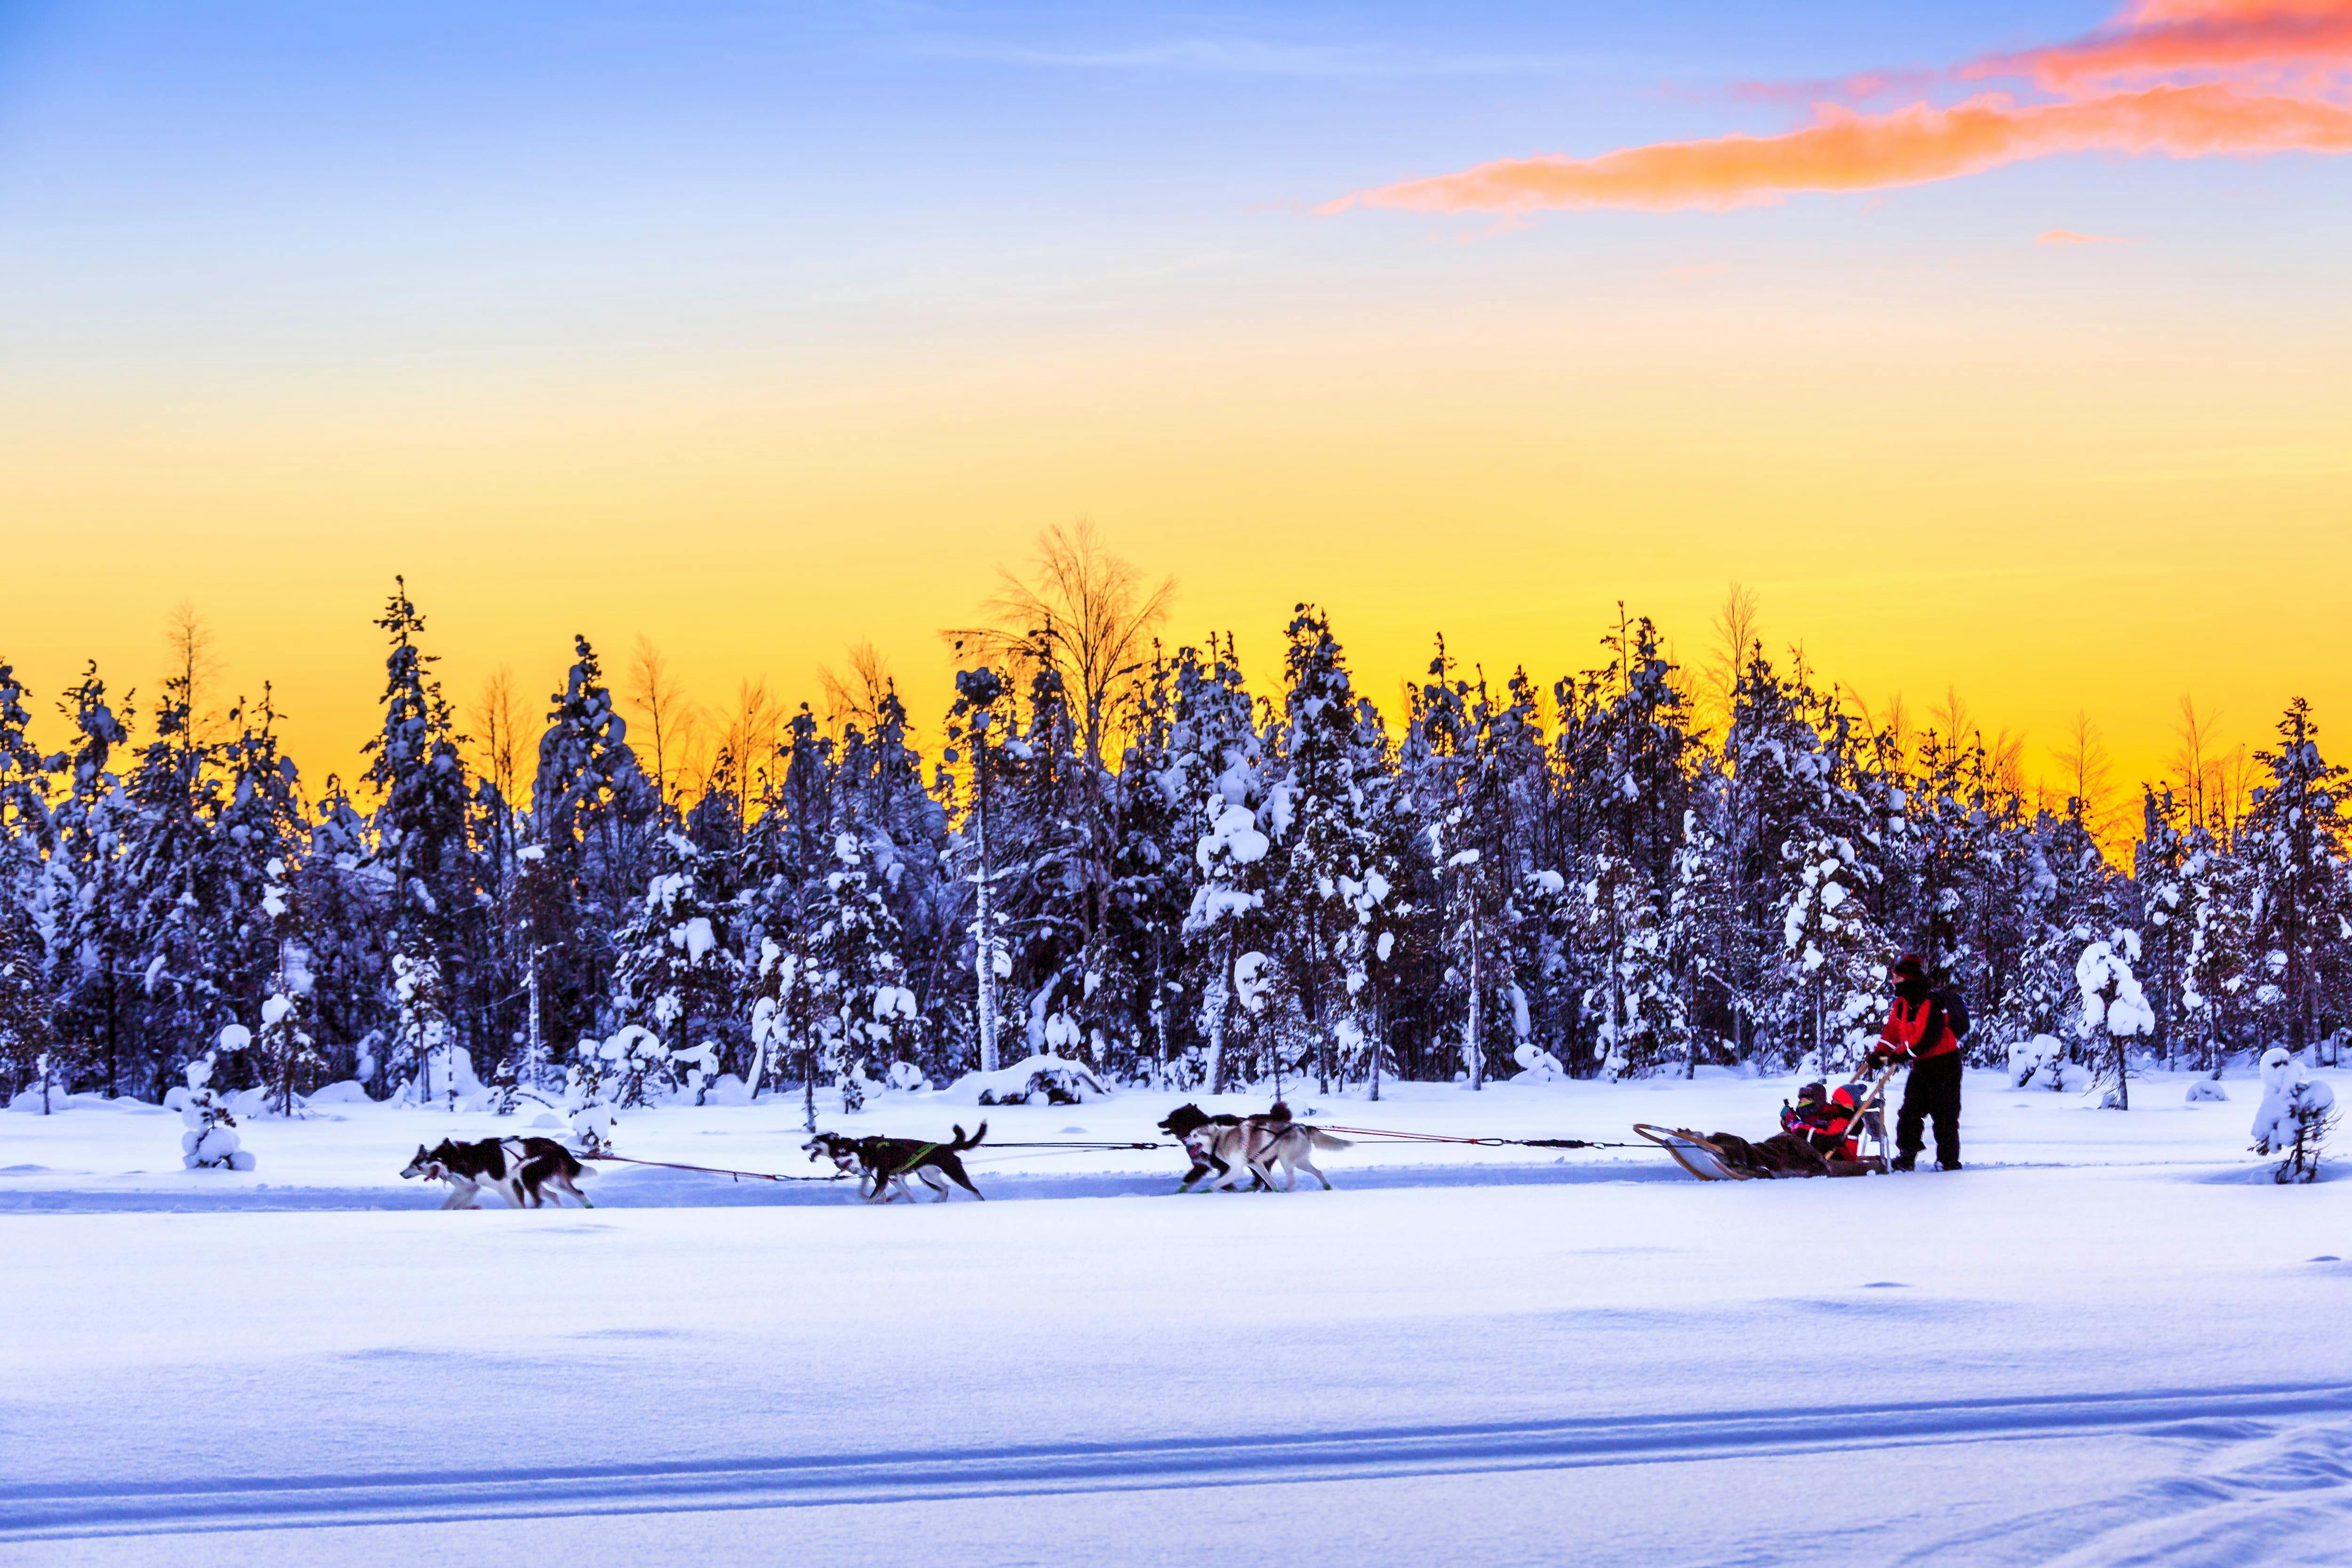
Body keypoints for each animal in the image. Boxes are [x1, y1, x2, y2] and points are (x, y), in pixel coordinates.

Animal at [402, 1133, 593, 1213]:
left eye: (432, 1158)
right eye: (426, 1157)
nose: (402, 1173)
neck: (469, 1158)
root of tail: (556, 1145)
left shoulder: (505, 1187)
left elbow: (518, 1205)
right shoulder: (470, 1188)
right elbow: (452, 1205)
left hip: (526, 1176)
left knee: (541, 1200)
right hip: (549, 1180)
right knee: (575, 1193)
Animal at [804, 1114, 988, 1204]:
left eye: (844, 1152)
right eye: (837, 1153)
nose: (837, 1163)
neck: (868, 1152)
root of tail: (944, 1146)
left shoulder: (883, 1180)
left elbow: (871, 1199)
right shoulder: (891, 1179)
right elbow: (904, 1196)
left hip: (954, 1173)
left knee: (974, 1190)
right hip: (926, 1177)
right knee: (945, 1188)